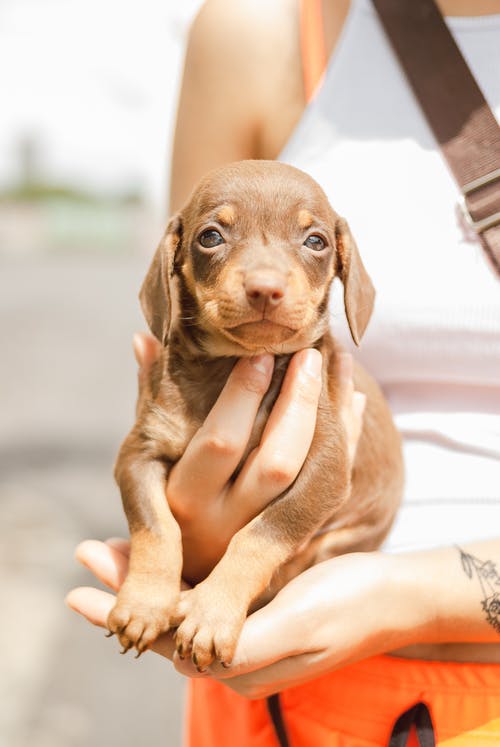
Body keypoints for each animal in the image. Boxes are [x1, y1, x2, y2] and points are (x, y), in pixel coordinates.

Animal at [107, 161, 404, 668]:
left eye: (316, 242)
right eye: (211, 237)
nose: (266, 289)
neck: (230, 366)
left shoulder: (325, 468)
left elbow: (261, 534)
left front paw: (211, 612)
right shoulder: (138, 453)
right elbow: (156, 527)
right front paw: (144, 602)